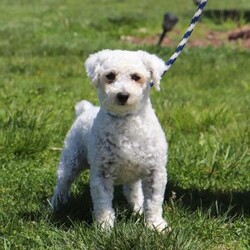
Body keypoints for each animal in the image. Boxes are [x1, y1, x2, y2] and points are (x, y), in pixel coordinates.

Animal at [52, 48, 170, 232]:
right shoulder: (102, 173)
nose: (123, 95)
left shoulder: (155, 171)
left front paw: (156, 225)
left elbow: (154, 202)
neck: (125, 120)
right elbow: (103, 203)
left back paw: (137, 208)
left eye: (136, 77)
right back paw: (56, 206)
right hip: (71, 160)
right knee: (62, 182)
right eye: (110, 76)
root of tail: (85, 110)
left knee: (132, 191)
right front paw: (104, 227)